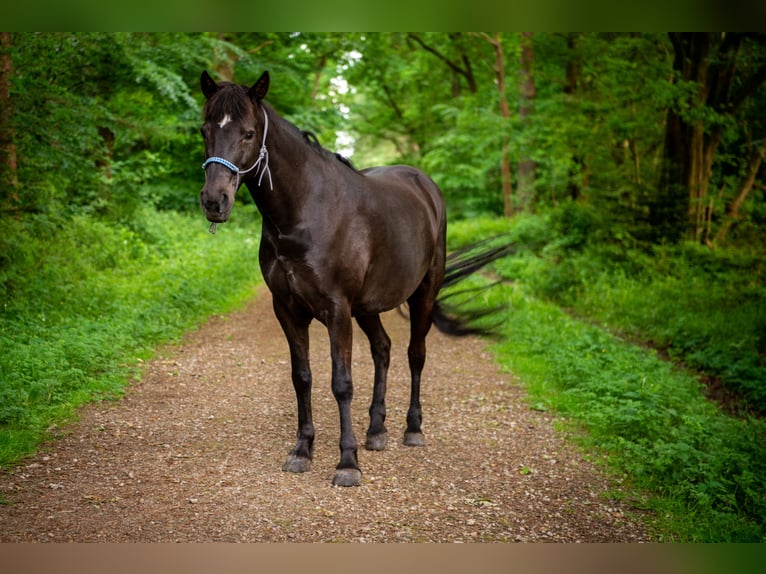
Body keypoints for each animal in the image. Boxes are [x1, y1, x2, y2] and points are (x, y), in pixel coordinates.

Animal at [200, 70, 510, 488]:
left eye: (248, 133)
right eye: (205, 130)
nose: (214, 201)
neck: (305, 212)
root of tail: (424, 184)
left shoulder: (337, 309)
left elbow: (341, 383)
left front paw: (347, 463)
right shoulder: (288, 310)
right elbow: (303, 377)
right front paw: (302, 451)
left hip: (423, 294)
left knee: (415, 354)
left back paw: (412, 429)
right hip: (368, 306)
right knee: (383, 348)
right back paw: (376, 430)